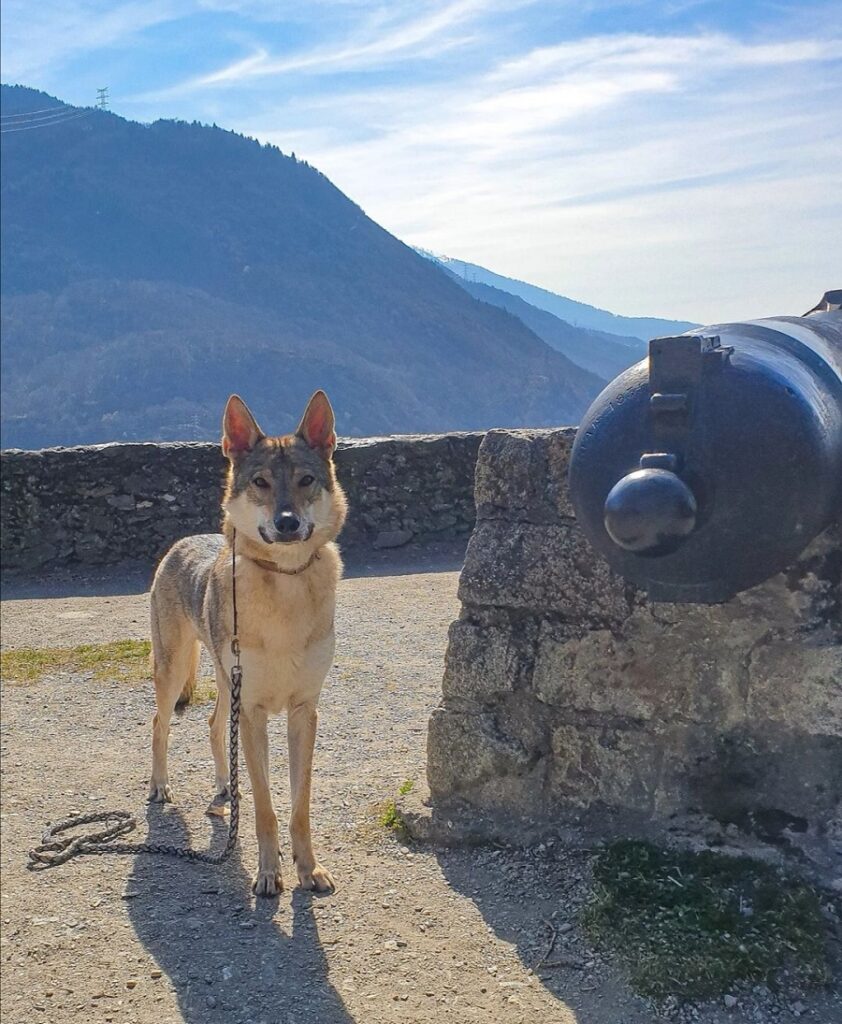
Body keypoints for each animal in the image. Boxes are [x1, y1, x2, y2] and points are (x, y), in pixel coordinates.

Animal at [149, 391, 348, 897]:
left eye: (305, 480)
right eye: (260, 482)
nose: (287, 522)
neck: (287, 585)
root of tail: (183, 541)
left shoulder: (303, 712)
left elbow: (299, 808)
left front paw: (308, 868)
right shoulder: (256, 713)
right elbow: (264, 809)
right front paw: (269, 874)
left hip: (225, 681)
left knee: (213, 726)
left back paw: (224, 788)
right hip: (176, 672)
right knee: (160, 723)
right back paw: (160, 786)